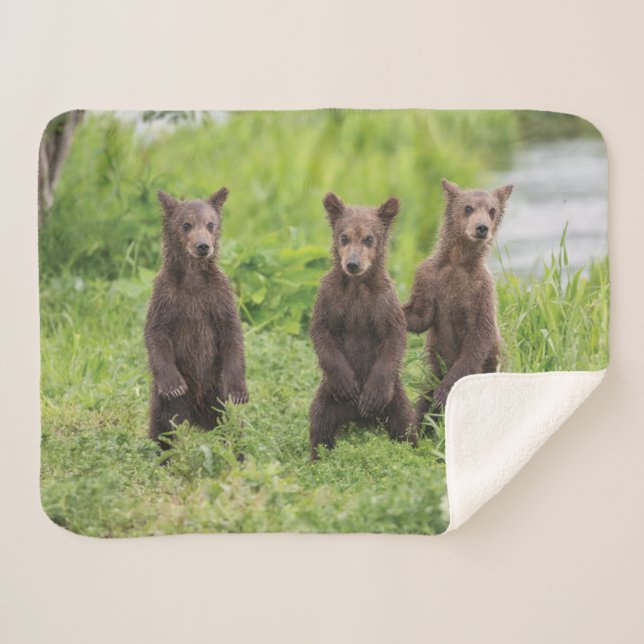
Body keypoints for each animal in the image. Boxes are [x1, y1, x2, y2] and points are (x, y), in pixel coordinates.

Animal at [144, 187, 248, 449]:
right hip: (170, 403)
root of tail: (197, 416)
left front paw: (239, 391)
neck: (192, 278)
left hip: (216, 392)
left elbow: (232, 333)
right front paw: (173, 385)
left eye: (211, 224)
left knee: (231, 426)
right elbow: (155, 334)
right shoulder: (167, 297)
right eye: (186, 224)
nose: (203, 246)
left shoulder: (217, 296)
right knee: (164, 427)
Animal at [309, 192, 417, 460]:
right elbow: (321, 332)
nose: (353, 264)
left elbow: (394, 338)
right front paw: (349, 386)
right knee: (319, 423)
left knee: (406, 425)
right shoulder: (330, 298)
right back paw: (317, 457)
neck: (357, 285)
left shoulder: (384, 302)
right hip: (327, 397)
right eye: (344, 236)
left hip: (396, 398)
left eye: (369, 238)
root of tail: (357, 419)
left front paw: (370, 399)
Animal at [403, 179, 513, 421]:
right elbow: (421, 315)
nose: (482, 228)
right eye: (468, 208)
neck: (458, 261)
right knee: (423, 404)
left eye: (492, 210)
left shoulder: (480, 291)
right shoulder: (429, 279)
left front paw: (445, 390)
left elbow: (479, 336)